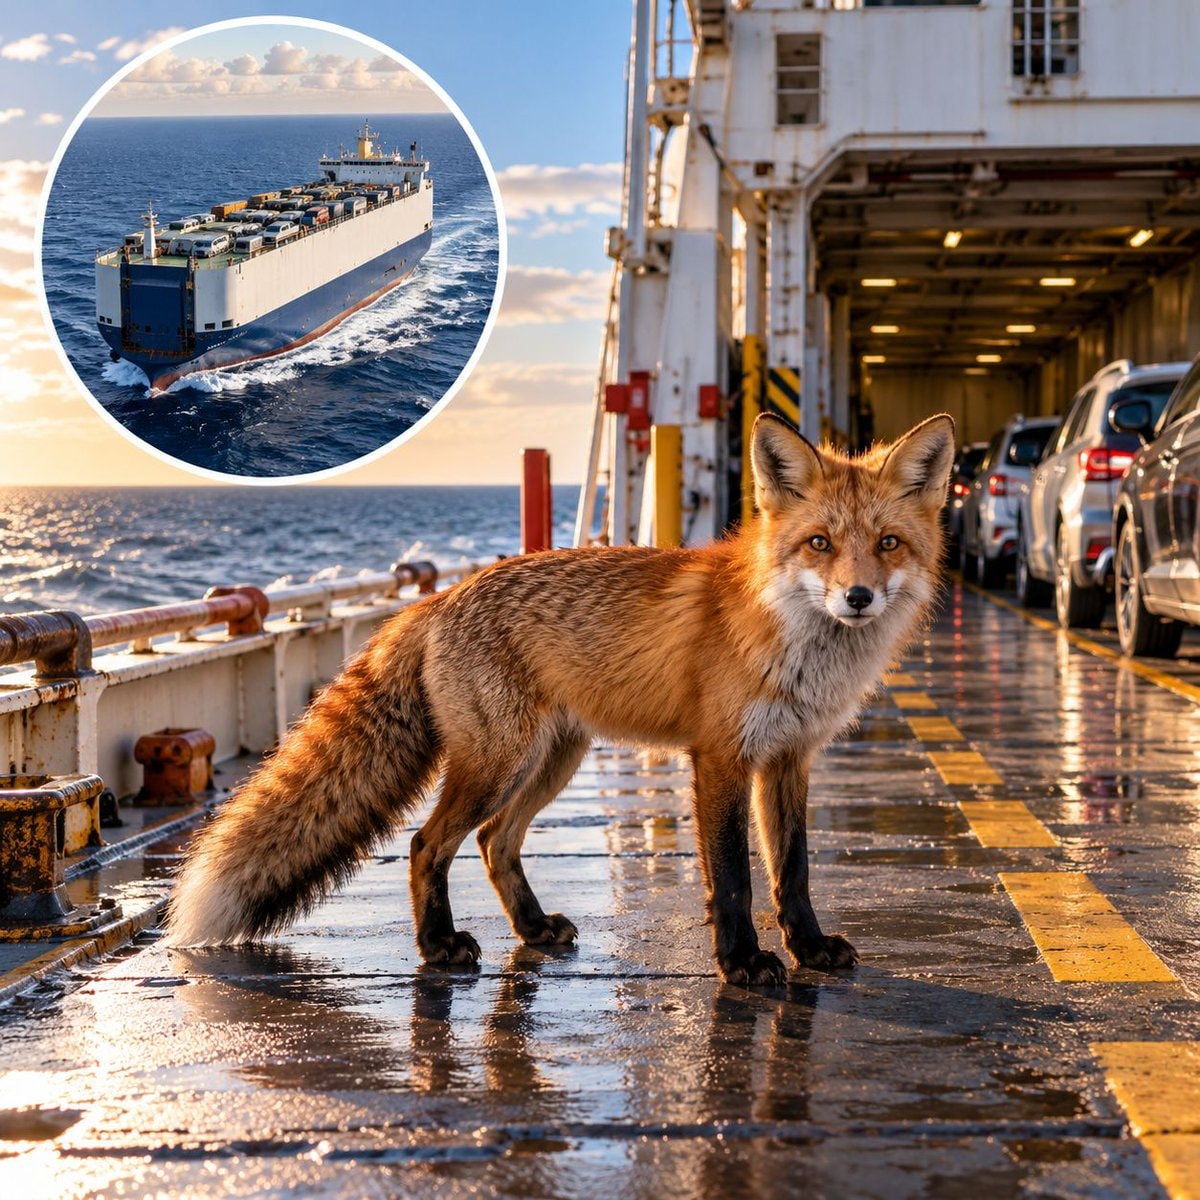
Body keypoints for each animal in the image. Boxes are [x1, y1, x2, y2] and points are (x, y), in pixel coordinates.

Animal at [168, 412, 955, 985]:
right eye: (820, 543)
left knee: (494, 842)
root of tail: (442, 598)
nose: (858, 597)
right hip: (499, 762)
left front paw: (810, 949)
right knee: (428, 844)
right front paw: (741, 963)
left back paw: (533, 930)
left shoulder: (790, 757)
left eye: (888, 544)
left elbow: (792, 871)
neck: (792, 643)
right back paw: (438, 947)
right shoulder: (721, 757)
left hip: (551, 761)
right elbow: (733, 878)